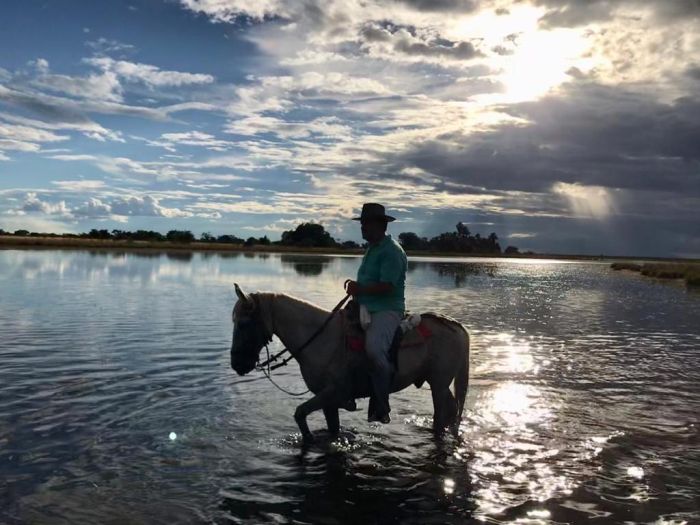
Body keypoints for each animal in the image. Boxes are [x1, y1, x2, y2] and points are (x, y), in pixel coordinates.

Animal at [230, 284, 470, 440]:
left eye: (243, 323)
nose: (236, 364)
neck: (322, 339)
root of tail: (457, 327)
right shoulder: (328, 401)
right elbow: (331, 429)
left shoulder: (333, 392)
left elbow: (299, 413)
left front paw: (309, 438)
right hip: (437, 383)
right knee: (451, 410)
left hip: (439, 384)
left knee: (443, 414)